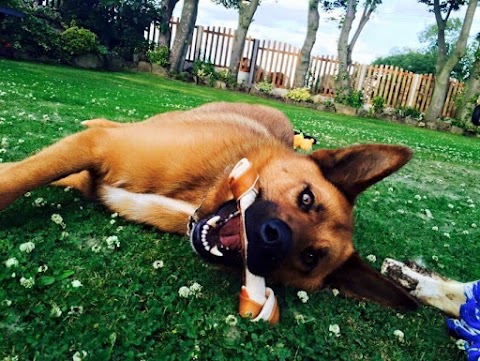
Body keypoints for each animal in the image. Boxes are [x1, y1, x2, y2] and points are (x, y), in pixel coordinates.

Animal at [0, 102, 416, 310]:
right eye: (307, 198)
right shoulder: (97, 148)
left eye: (310, 258)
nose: (274, 236)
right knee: (116, 124)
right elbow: (16, 177)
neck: (196, 199)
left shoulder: (90, 179)